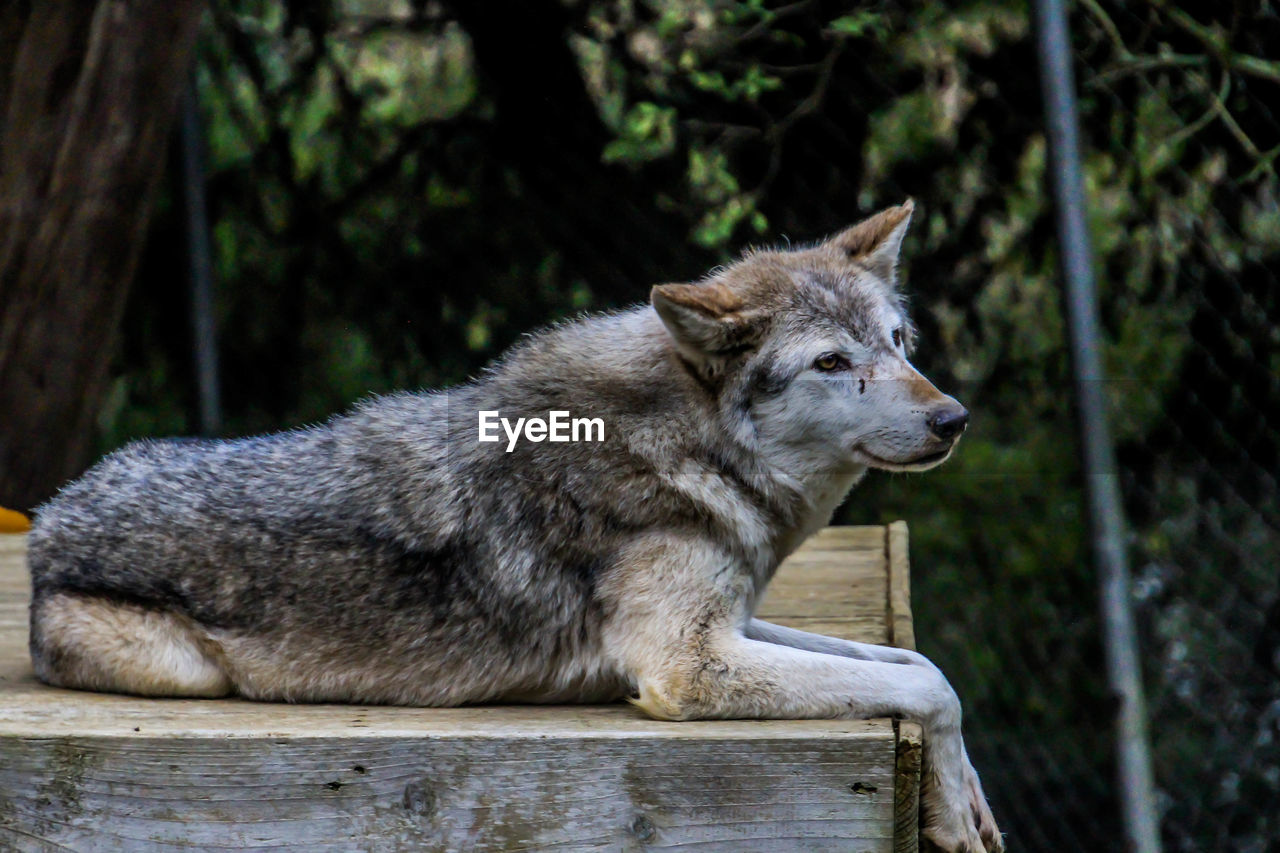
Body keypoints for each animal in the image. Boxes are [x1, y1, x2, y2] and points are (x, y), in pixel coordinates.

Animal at [27, 202, 998, 845]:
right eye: (831, 361)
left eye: (898, 344)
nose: (954, 418)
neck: (689, 445)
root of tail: (47, 519)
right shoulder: (688, 664)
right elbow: (924, 688)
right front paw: (955, 811)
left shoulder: (736, 621)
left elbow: (919, 666)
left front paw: (965, 799)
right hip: (192, 675)